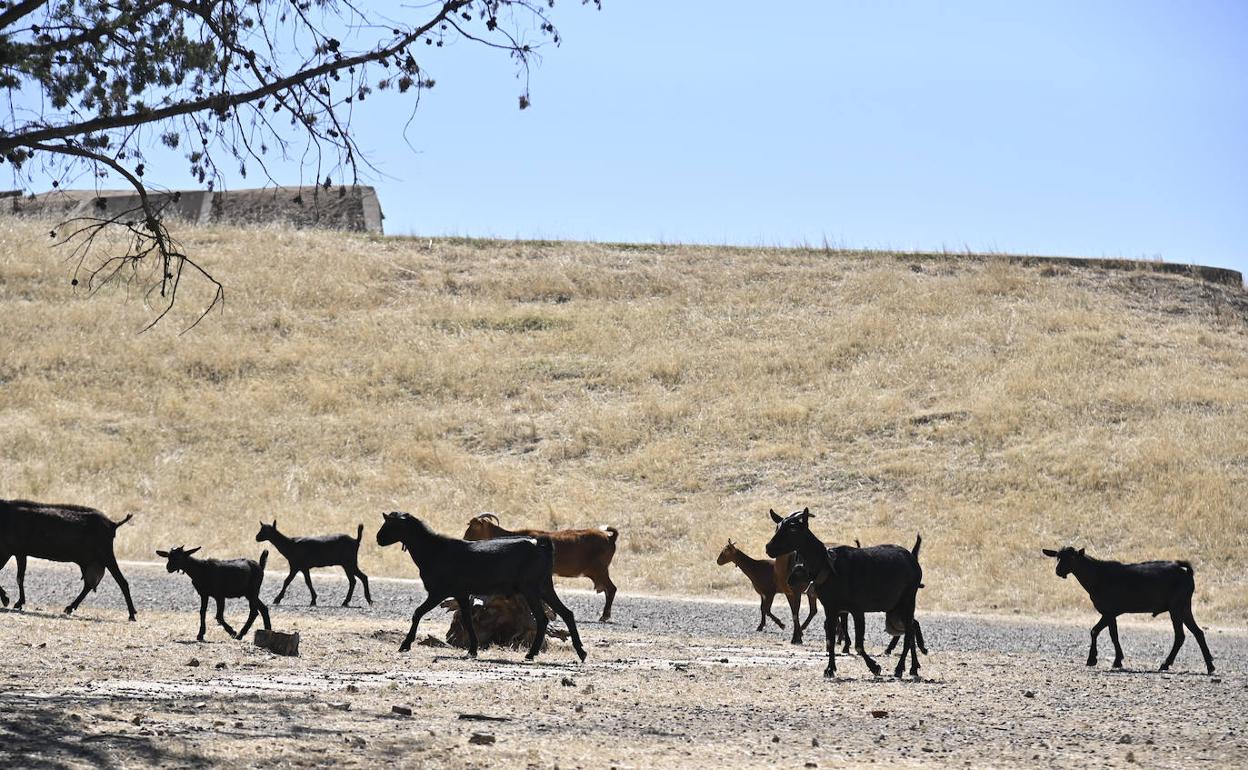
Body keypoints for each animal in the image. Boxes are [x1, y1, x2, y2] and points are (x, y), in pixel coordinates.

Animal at [0, 499, 139, 618]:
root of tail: (113, 524)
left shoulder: (9, 551)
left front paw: (8, 599)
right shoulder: (19, 553)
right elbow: (20, 577)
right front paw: (16, 601)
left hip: (106, 555)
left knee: (121, 581)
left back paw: (132, 614)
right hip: (90, 560)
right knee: (88, 584)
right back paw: (70, 607)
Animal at [371, 511, 586, 658]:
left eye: (391, 524)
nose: (378, 539)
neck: (434, 551)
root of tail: (541, 545)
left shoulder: (439, 592)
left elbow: (417, 613)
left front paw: (405, 645)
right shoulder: (461, 593)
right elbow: (467, 619)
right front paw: (472, 650)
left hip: (531, 588)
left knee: (542, 618)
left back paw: (531, 654)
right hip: (544, 586)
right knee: (567, 613)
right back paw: (581, 652)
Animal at [464, 514, 619, 621]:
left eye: (474, 526)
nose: (465, 538)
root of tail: (610, 537)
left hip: (599, 570)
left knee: (611, 589)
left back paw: (604, 616)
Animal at [763, 511, 923, 678]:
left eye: (793, 528)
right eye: (777, 526)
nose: (769, 547)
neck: (828, 567)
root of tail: (913, 559)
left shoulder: (857, 609)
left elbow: (858, 645)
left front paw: (875, 667)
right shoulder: (831, 608)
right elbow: (831, 640)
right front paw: (829, 669)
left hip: (908, 599)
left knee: (909, 632)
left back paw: (900, 669)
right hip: (897, 606)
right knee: (911, 629)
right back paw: (913, 668)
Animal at [1038, 546, 1213, 673]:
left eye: (1072, 558)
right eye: (1058, 557)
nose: (1058, 571)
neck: (1098, 577)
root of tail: (1186, 572)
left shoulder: (1109, 611)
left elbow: (1108, 634)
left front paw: (1105, 660)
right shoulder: (1110, 612)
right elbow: (1099, 631)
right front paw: (1103, 659)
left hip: (1176, 607)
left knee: (1180, 636)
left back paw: (1165, 664)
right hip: (1184, 606)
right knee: (1198, 632)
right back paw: (1210, 666)